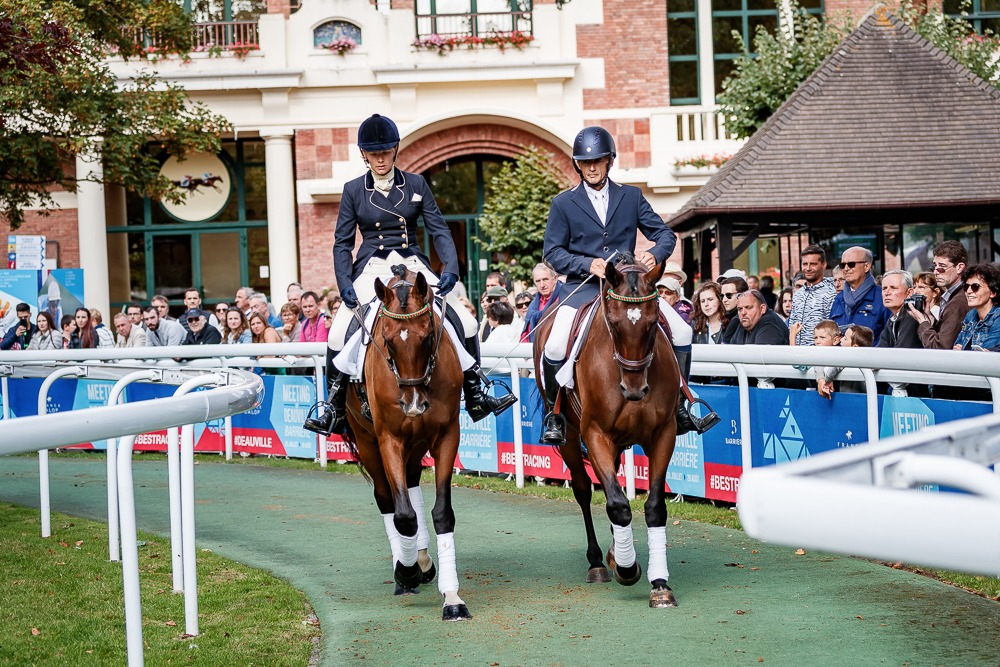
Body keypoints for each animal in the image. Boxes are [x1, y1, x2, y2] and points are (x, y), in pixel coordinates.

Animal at [346, 264, 470, 620]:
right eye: (387, 341)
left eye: (428, 337)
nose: (413, 405)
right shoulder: (389, 438)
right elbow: (402, 516)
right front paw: (406, 570)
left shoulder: (446, 435)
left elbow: (441, 513)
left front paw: (452, 596)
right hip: (369, 442)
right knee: (387, 499)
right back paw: (407, 564)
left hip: (416, 445)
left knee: (411, 485)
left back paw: (422, 558)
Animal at [536, 258, 684, 612]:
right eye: (614, 324)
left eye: (653, 323)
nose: (634, 390)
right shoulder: (595, 434)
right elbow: (617, 503)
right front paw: (628, 569)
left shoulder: (664, 433)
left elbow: (653, 506)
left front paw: (659, 584)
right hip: (572, 439)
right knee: (584, 491)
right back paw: (598, 563)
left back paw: (616, 552)